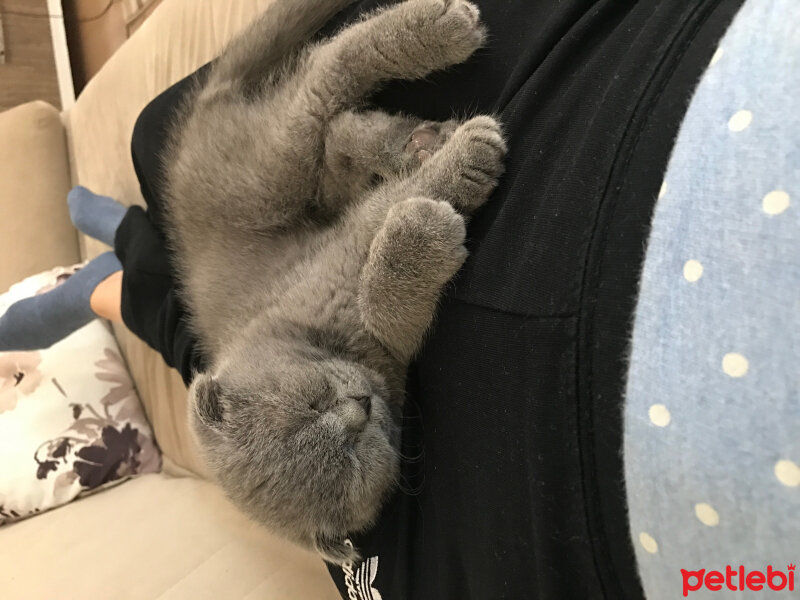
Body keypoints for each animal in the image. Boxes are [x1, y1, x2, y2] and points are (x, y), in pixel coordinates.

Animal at [164, 0, 506, 564]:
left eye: (312, 402)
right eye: (350, 455)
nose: (359, 408)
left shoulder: (340, 253)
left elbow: (388, 212)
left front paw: (455, 165)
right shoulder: (385, 333)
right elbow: (388, 302)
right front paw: (437, 209)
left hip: (267, 178)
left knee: (325, 77)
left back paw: (434, 33)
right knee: (335, 133)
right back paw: (407, 139)